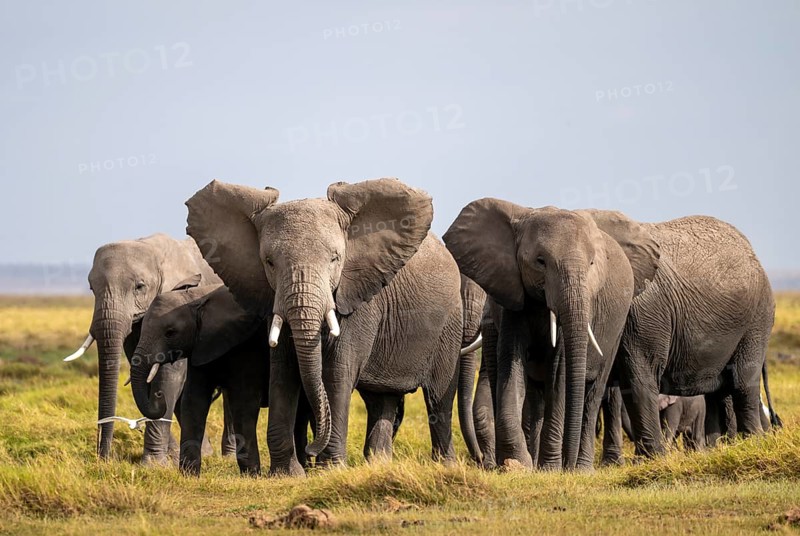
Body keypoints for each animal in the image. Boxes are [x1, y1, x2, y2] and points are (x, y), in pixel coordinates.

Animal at [62, 234, 235, 462]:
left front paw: (153, 464)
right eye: (91, 288)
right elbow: (146, 375)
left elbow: (167, 375)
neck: (149, 247)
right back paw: (205, 454)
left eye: (140, 287)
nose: (103, 458)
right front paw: (171, 457)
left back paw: (229, 457)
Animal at [185, 178, 473, 476]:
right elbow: (283, 371)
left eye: (335, 259)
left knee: (437, 397)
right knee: (381, 399)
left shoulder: (358, 296)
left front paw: (329, 470)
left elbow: (337, 371)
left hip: (450, 323)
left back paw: (445, 466)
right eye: (269, 262)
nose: (312, 449)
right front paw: (287, 474)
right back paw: (378, 465)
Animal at [444, 201, 653, 470]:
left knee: (593, 394)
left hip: (618, 327)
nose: (567, 464)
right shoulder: (515, 299)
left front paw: (550, 468)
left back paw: (582, 469)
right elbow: (513, 371)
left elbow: (559, 375)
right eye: (540, 261)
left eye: (592, 264)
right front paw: (519, 464)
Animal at [585, 212, 777, 459]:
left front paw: (651, 459)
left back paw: (752, 443)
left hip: (757, 317)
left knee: (743, 382)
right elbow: (611, 385)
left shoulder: (644, 308)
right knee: (717, 391)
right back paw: (713, 451)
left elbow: (638, 375)